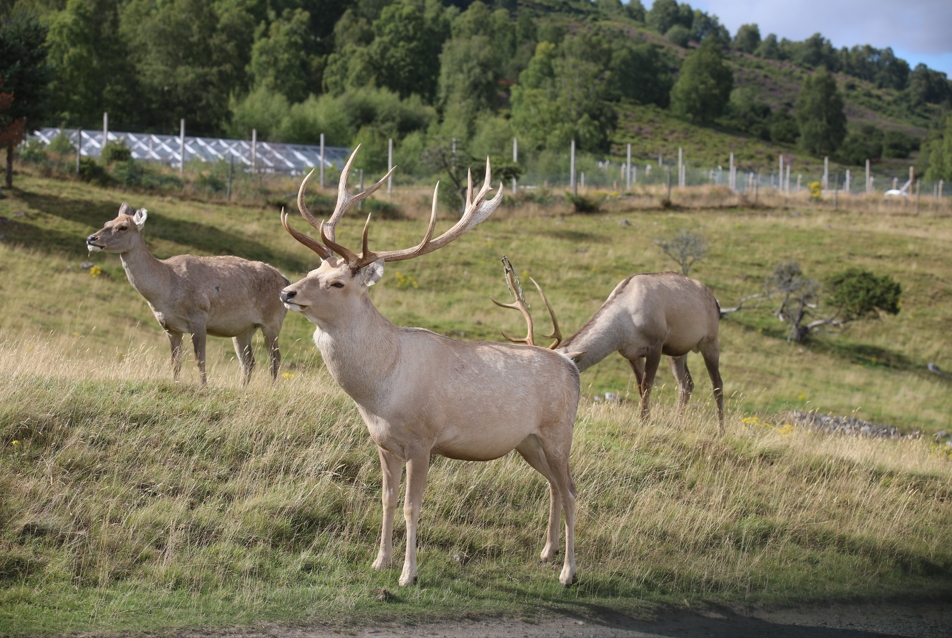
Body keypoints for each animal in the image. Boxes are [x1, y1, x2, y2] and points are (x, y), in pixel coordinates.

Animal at [86, 204, 289, 385]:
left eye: (123, 227)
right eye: (107, 222)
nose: (91, 238)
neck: (165, 289)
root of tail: (285, 280)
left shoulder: (199, 316)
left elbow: (200, 358)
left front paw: (204, 387)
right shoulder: (169, 326)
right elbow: (175, 361)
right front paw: (176, 383)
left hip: (272, 322)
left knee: (275, 359)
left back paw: (273, 388)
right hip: (243, 329)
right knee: (249, 362)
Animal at [279, 147, 581, 587]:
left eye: (337, 283)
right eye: (311, 271)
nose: (287, 291)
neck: (380, 391)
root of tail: (571, 366)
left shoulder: (423, 440)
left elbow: (411, 506)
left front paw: (408, 574)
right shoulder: (383, 443)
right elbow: (386, 500)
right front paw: (380, 561)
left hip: (559, 431)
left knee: (572, 489)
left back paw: (568, 571)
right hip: (529, 440)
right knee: (555, 487)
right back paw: (547, 551)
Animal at [495, 269, 724, 431]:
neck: (624, 325)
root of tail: (716, 301)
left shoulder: (656, 344)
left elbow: (647, 384)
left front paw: (643, 420)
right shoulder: (630, 352)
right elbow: (640, 386)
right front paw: (646, 418)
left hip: (710, 339)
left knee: (717, 384)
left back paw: (721, 429)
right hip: (678, 351)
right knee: (686, 383)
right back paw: (678, 422)